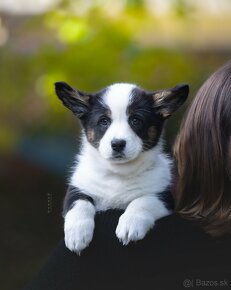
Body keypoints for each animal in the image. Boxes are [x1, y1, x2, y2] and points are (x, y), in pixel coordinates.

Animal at [55, 81, 189, 254]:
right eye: (104, 121)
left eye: (136, 120)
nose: (117, 144)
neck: (118, 172)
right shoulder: (77, 189)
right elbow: (80, 204)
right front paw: (77, 235)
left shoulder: (163, 197)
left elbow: (142, 201)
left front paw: (130, 225)